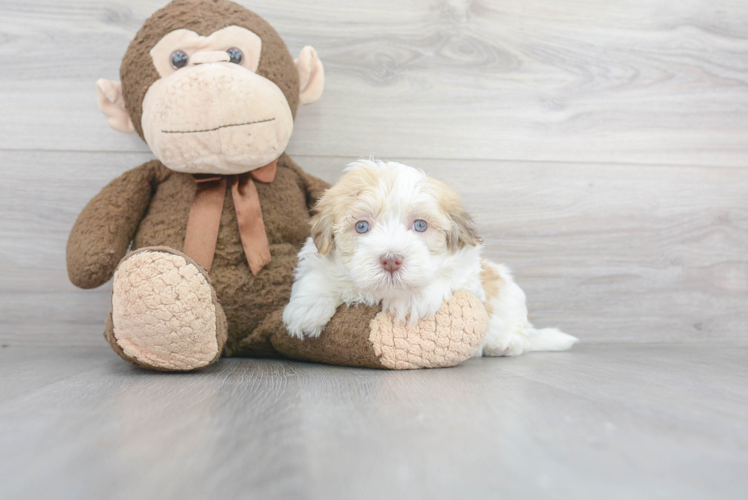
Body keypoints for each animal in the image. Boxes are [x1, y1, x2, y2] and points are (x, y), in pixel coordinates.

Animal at [282, 160, 580, 356]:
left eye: (420, 225)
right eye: (362, 226)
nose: (391, 260)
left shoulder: (467, 272)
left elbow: (444, 276)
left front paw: (412, 298)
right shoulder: (316, 256)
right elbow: (318, 274)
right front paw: (307, 309)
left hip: (512, 302)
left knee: (520, 334)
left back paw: (504, 343)